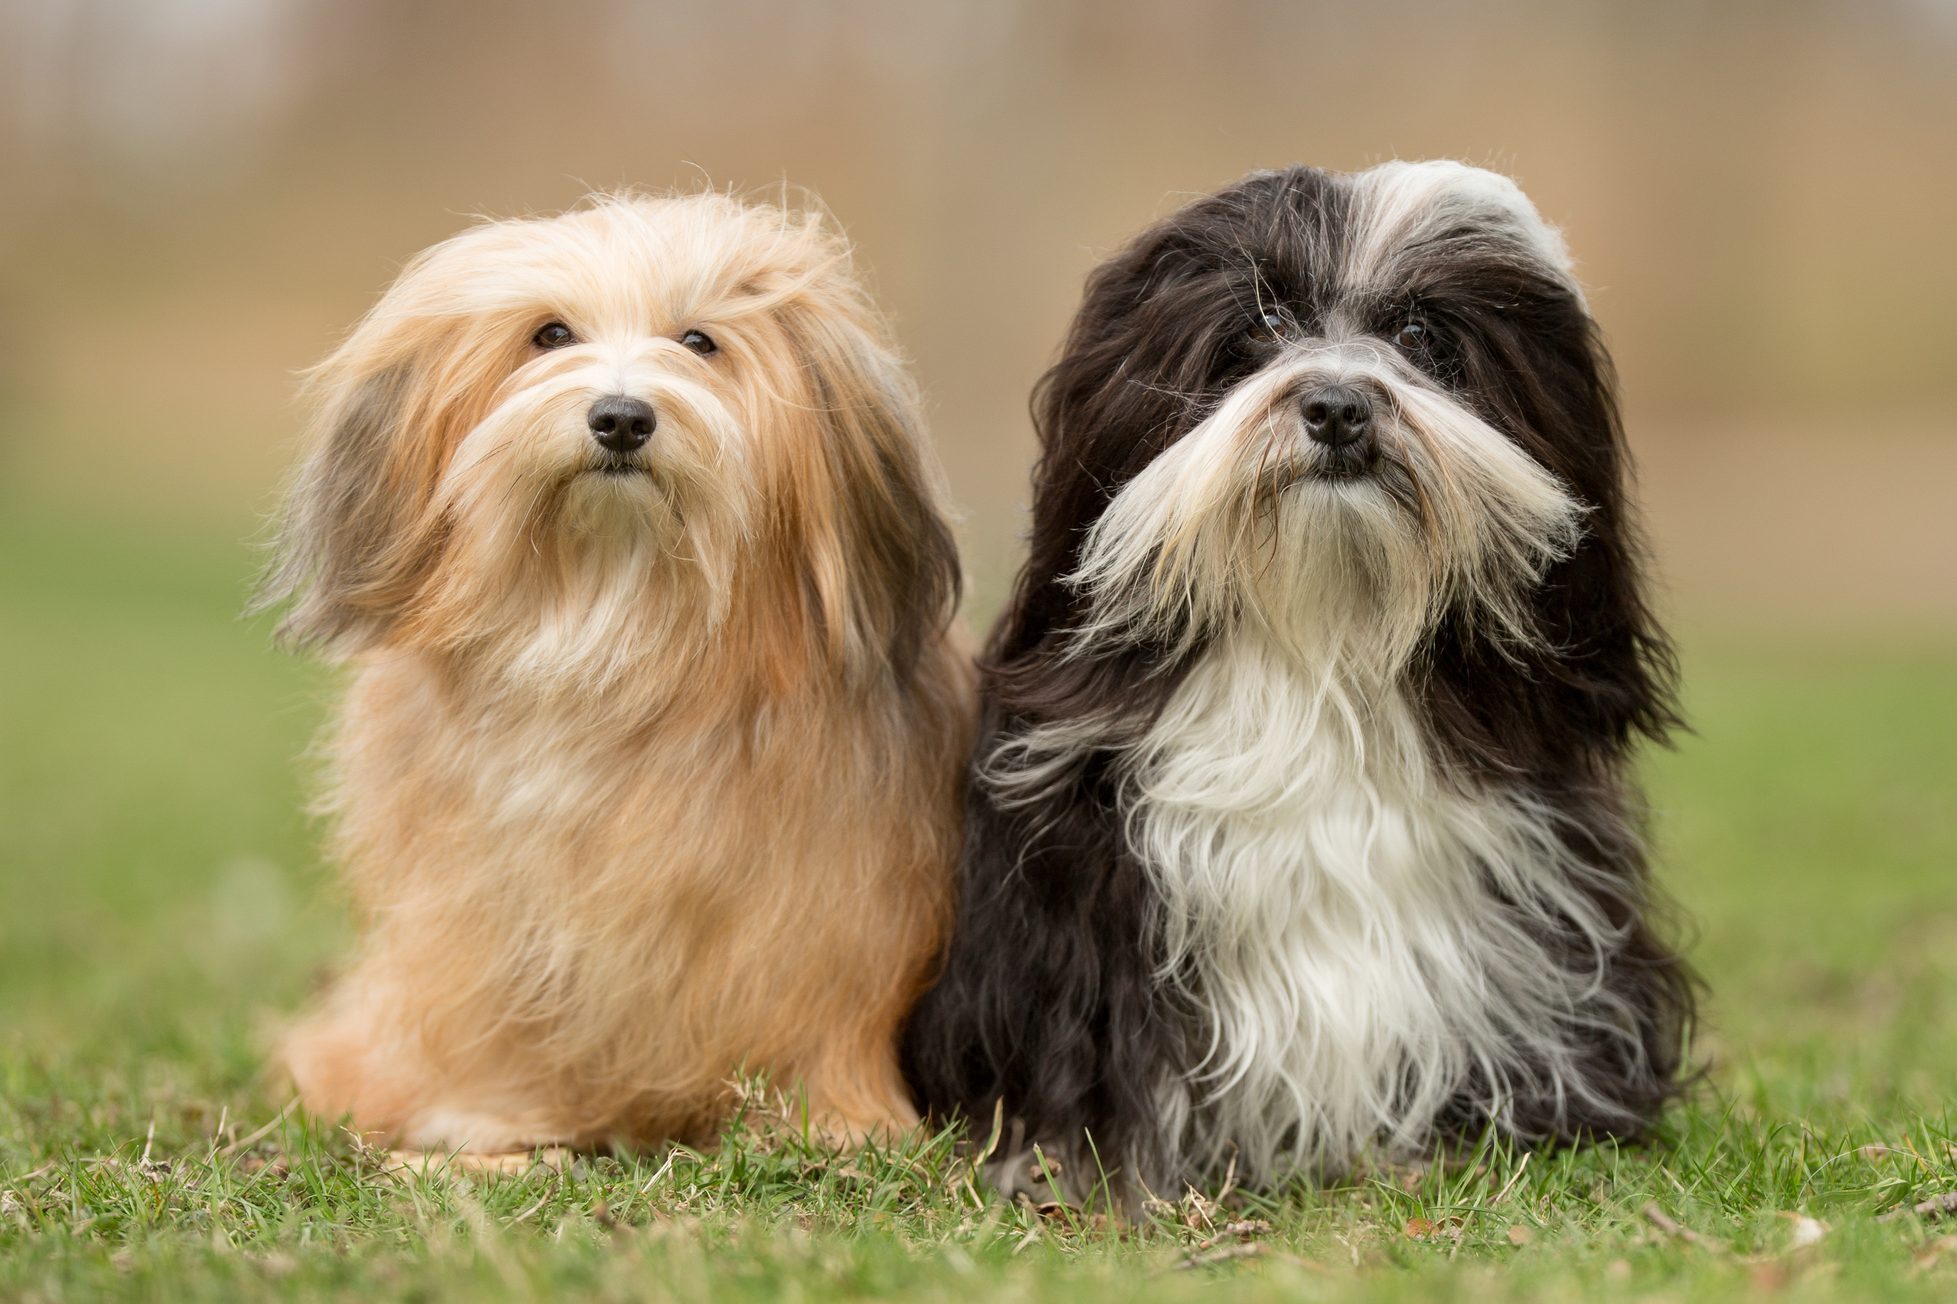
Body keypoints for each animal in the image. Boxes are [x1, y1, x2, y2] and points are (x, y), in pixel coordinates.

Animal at [252, 190, 970, 1151]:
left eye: (699, 341)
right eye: (550, 335)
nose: (622, 417)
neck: (615, 618)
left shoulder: (835, 901)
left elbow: (822, 1006)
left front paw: (836, 1123)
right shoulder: (477, 908)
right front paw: (492, 1118)